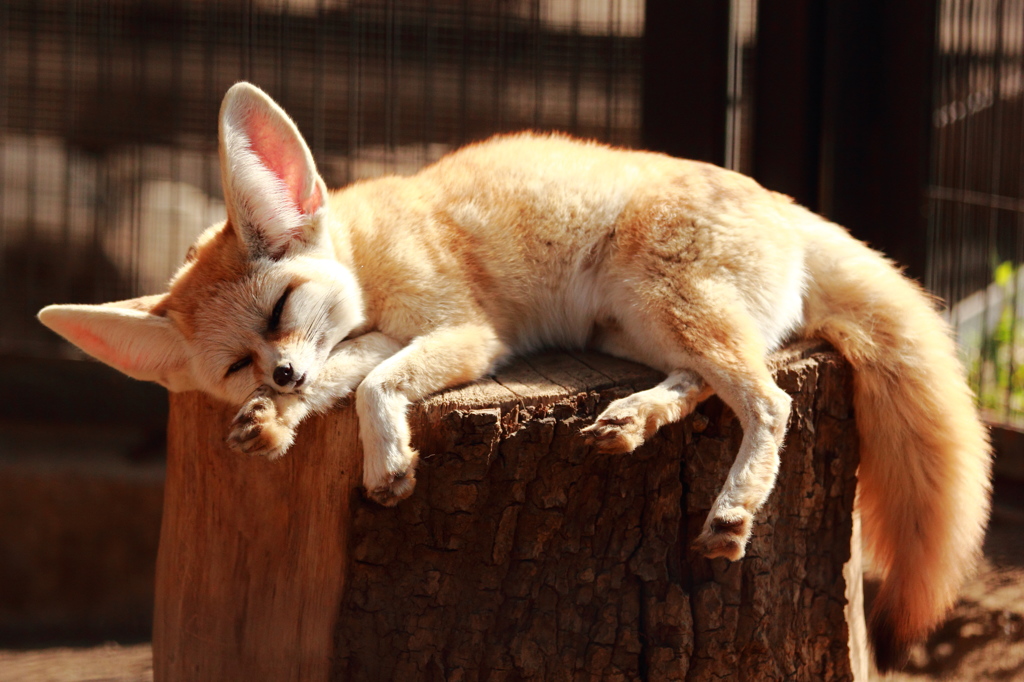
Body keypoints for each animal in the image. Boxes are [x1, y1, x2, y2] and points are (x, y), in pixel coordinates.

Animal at [36, 80, 987, 667]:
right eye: (238, 364)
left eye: (279, 311)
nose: (283, 377)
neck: (369, 255)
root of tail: (789, 204)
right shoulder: (392, 338)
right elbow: (351, 380)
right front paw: (279, 425)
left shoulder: (468, 334)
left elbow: (372, 386)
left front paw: (387, 462)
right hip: (642, 327)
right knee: (705, 386)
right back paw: (632, 419)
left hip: (669, 305)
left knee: (772, 399)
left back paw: (732, 509)